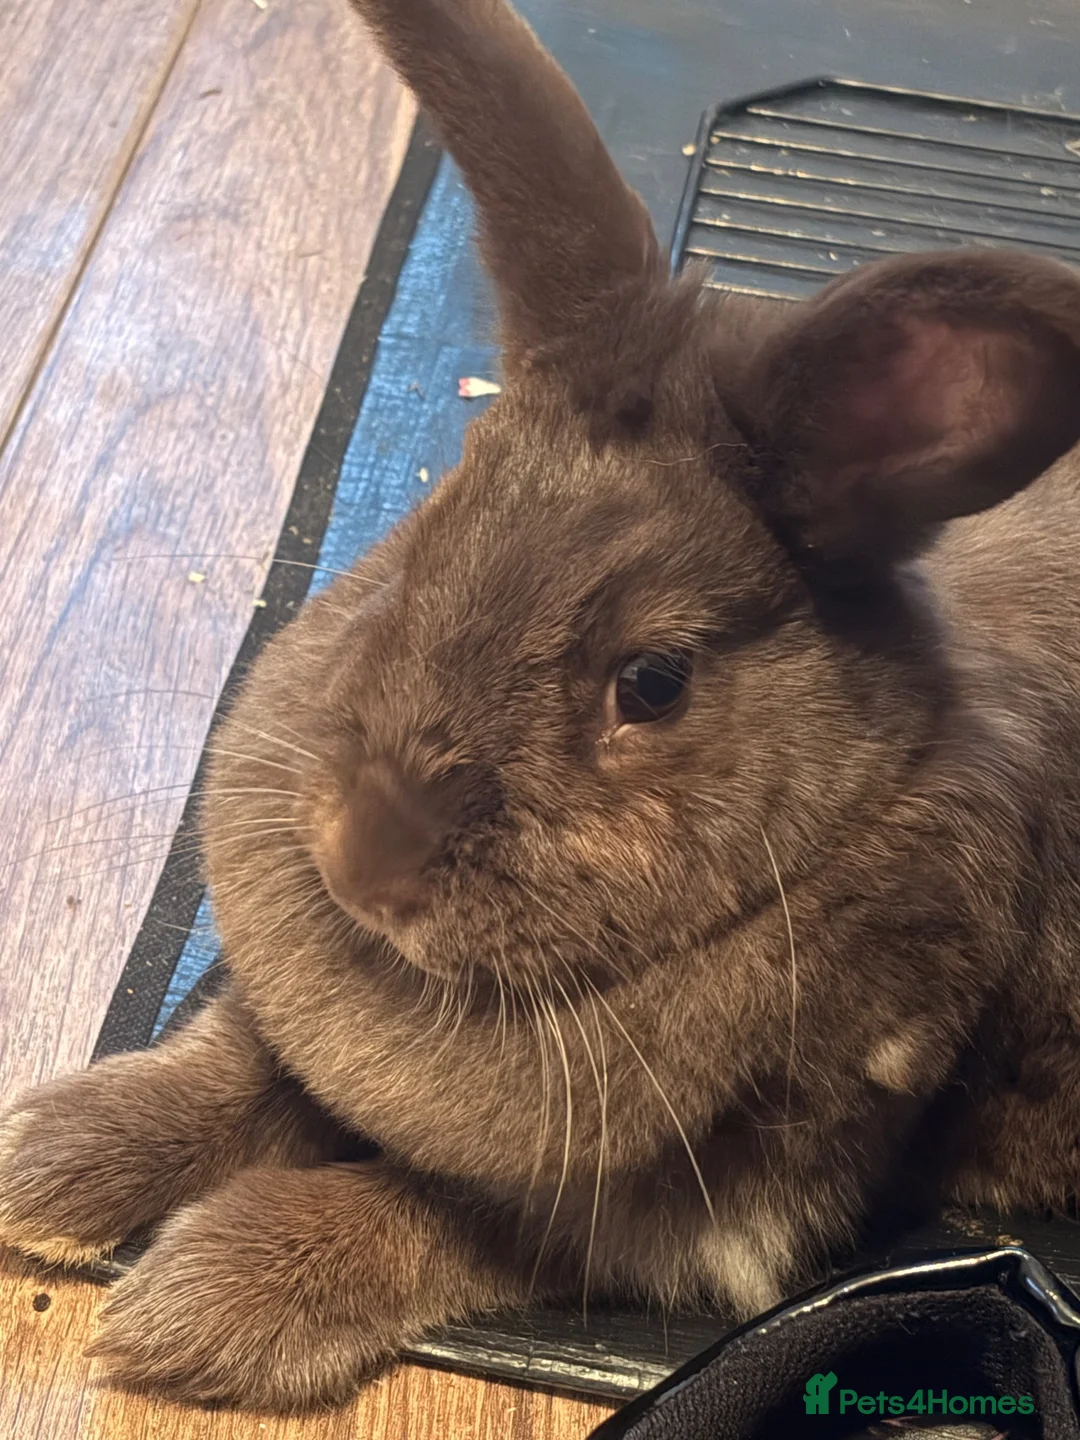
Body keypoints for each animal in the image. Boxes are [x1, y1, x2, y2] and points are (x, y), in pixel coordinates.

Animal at [3, 0, 1080, 1415]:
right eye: (437, 522)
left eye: (654, 684)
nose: (362, 859)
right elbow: (242, 1056)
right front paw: (50, 1155)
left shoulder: (701, 1223)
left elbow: (440, 1215)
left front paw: (201, 1299)